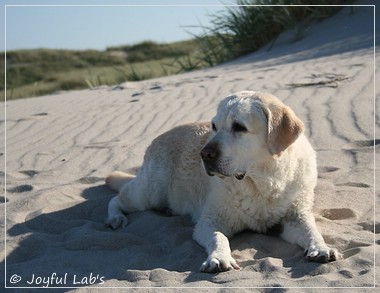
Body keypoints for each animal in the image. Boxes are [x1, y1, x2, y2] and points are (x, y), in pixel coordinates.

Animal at [104, 90, 342, 272]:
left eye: (239, 127)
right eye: (214, 126)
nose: (204, 154)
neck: (262, 182)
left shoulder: (295, 215)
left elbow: (311, 230)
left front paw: (321, 248)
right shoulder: (210, 220)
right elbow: (219, 237)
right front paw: (219, 257)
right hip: (152, 190)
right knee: (118, 198)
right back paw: (115, 217)